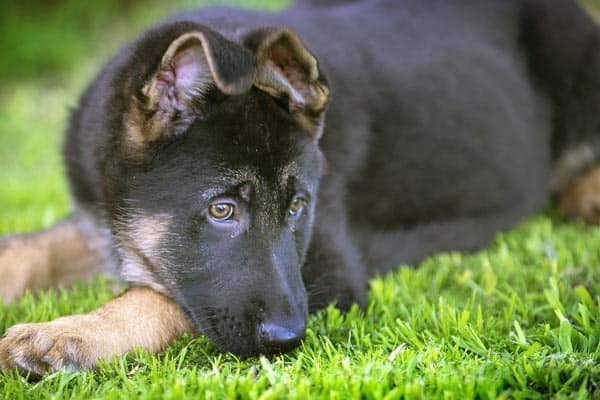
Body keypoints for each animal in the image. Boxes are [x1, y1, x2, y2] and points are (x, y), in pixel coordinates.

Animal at [1, 0, 600, 376]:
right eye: (222, 210)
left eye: (298, 207)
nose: (290, 340)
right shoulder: (100, 221)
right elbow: (31, 247)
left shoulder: (329, 268)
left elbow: (165, 299)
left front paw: (69, 334)